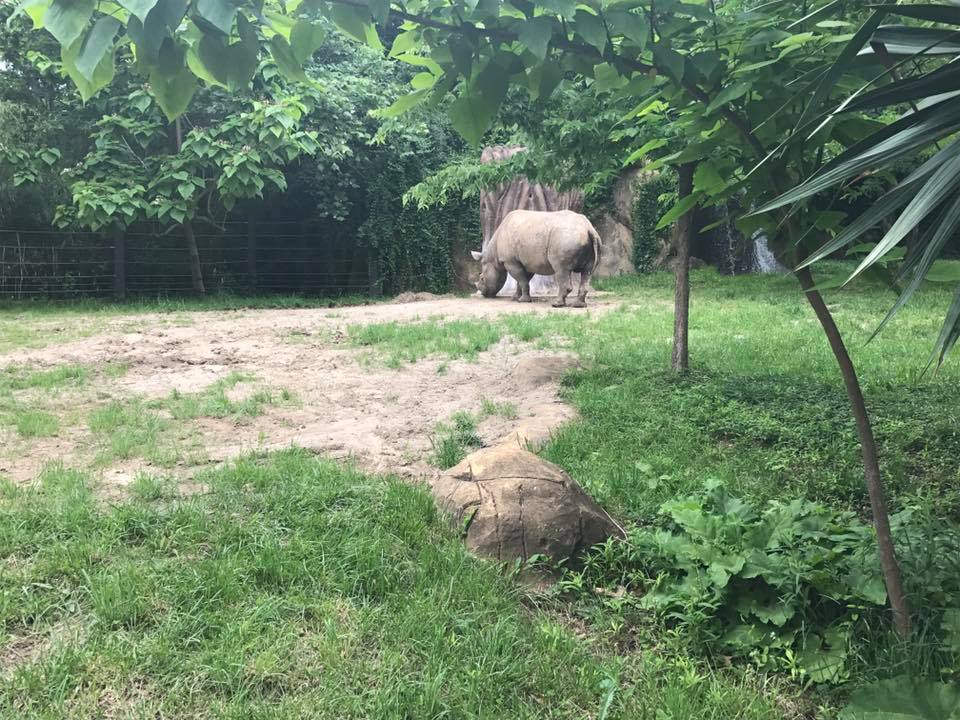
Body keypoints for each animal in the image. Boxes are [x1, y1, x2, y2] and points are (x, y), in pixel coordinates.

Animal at [471, 209, 602, 308]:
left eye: (482, 278)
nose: (484, 293)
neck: (493, 257)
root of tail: (588, 228)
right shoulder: (526, 262)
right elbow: (522, 280)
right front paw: (515, 298)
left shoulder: (510, 261)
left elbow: (522, 280)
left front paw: (522, 301)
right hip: (590, 240)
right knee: (587, 272)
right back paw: (579, 305)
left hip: (565, 238)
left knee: (561, 270)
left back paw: (557, 304)